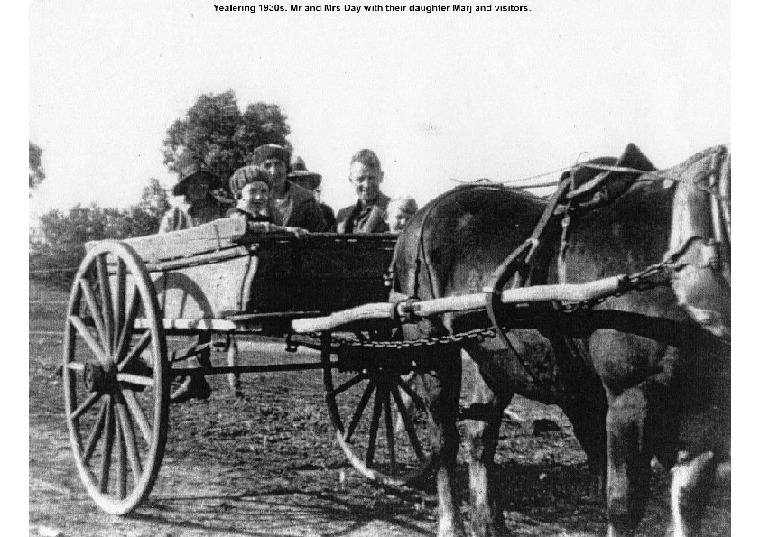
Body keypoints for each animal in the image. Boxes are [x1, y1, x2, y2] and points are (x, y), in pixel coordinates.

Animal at [392, 144, 732, 532]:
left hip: (493, 358)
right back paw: (450, 524)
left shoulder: (707, 412)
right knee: (444, 440)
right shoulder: (630, 396)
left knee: (480, 436)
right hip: (431, 350)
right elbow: (624, 504)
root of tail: (422, 214)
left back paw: (489, 522)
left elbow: (688, 502)